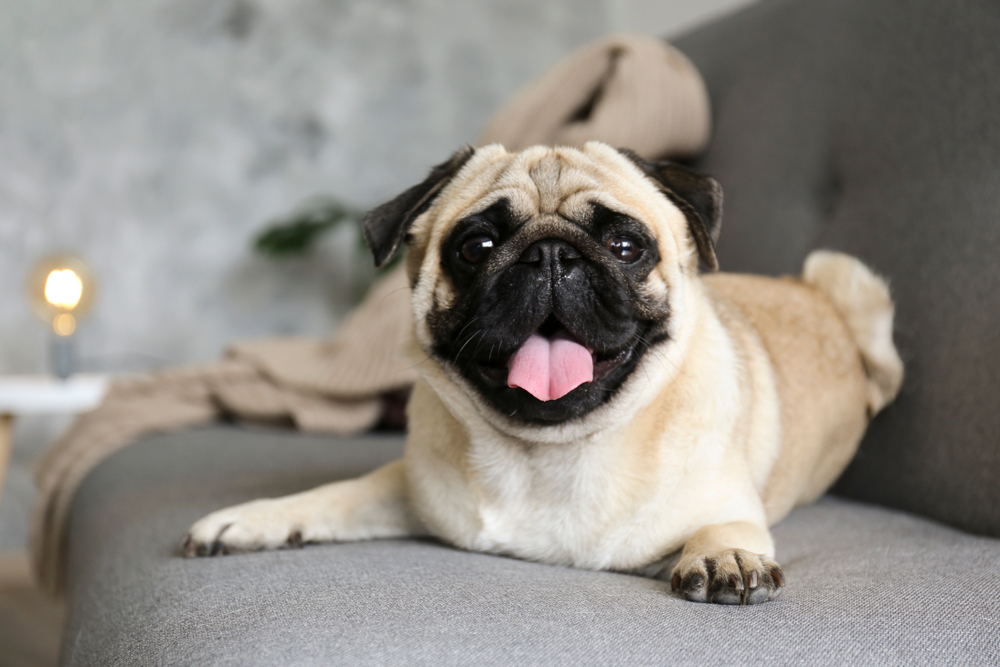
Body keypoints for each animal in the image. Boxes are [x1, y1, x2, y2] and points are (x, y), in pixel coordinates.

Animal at [182, 141, 908, 604]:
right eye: (476, 246)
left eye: (626, 245)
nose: (553, 255)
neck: (548, 453)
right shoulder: (409, 490)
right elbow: (332, 495)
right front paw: (251, 520)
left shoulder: (725, 504)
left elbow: (726, 527)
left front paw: (723, 554)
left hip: (852, 281)